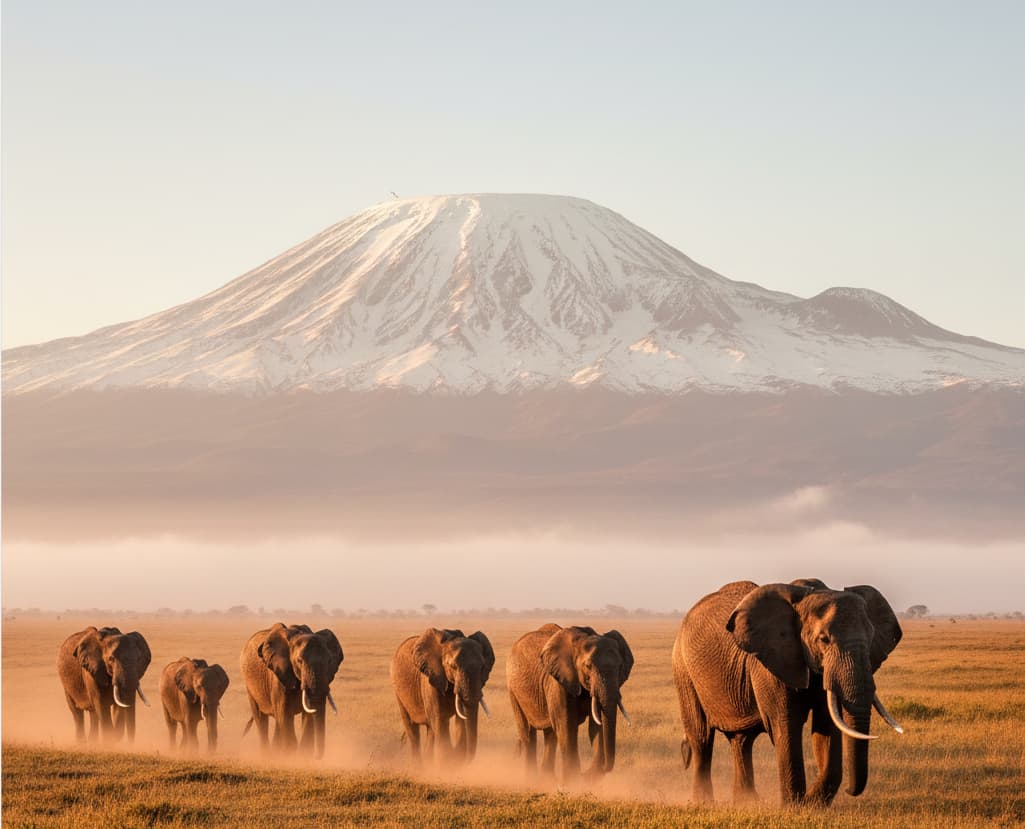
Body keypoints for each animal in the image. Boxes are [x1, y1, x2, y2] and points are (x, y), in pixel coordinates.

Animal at [240, 623, 343, 757]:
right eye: (299, 661)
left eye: (330, 661)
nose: (316, 757)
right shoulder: (279, 676)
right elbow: (285, 713)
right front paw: (291, 757)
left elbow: (307, 714)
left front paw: (302, 756)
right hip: (249, 685)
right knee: (261, 718)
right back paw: (268, 756)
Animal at [390, 628, 495, 766]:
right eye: (453, 667)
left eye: (482, 667)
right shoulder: (430, 679)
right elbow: (439, 718)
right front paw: (446, 765)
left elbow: (459, 719)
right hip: (398, 690)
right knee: (412, 728)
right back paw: (419, 768)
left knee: (431, 729)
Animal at [507, 624, 634, 781]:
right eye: (588, 666)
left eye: (620, 666)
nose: (585, 774)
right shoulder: (559, 682)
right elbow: (566, 724)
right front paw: (572, 781)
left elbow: (596, 726)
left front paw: (587, 778)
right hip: (513, 690)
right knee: (527, 731)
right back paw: (533, 779)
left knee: (551, 734)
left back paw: (547, 779)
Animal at [672, 579, 904, 806]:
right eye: (824, 639)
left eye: (872, 638)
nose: (849, 790)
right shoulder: (770, 665)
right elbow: (786, 724)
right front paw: (795, 807)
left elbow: (826, 726)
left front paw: (813, 804)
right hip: (683, 671)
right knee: (701, 737)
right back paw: (703, 803)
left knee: (741, 740)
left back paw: (747, 802)